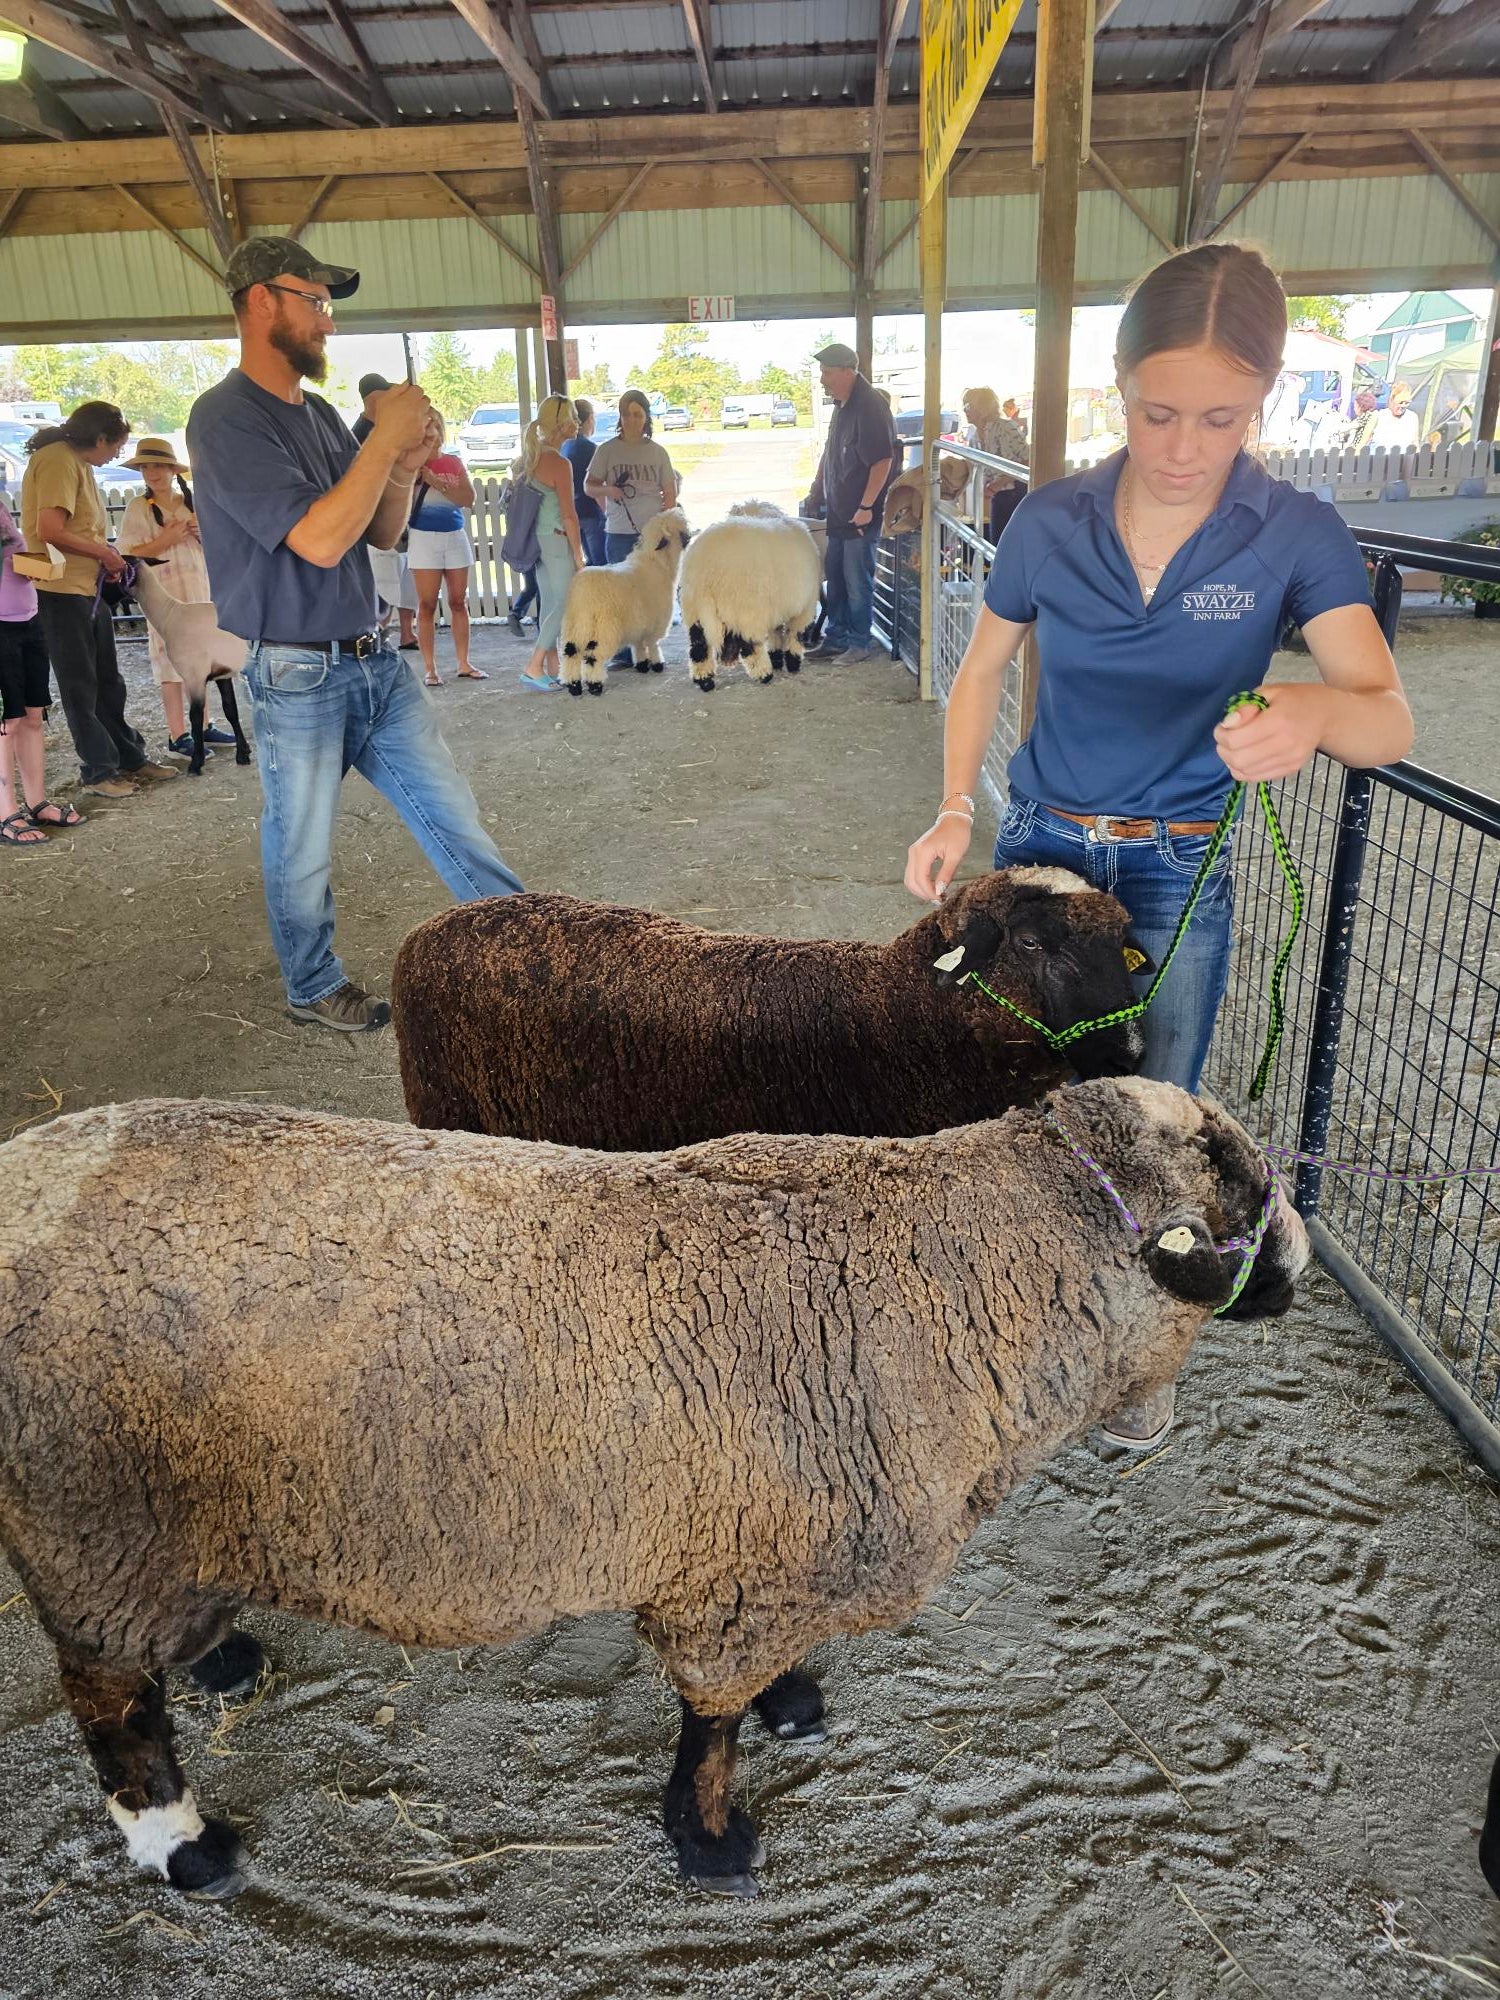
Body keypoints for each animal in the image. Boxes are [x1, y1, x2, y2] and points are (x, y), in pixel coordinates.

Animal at [0, 1077, 1307, 1900]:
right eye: (1236, 1173)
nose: (1297, 1256)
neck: (948, 1273)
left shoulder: (767, 1555)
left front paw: (794, 1700)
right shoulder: (732, 1581)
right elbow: (708, 1722)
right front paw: (713, 1837)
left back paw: (221, 1652)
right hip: (87, 1521)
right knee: (111, 1700)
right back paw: (185, 1845)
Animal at [127, 559, 250, 777]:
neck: (170, 615)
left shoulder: (194, 676)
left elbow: (195, 716)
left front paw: (196, 764)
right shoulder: (221, 674)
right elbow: (230, 710)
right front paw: (243, 753)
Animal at [392, 866, 1150, 1152]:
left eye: (1122, 944)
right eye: (1030, 942)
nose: (1133, 1051)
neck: (889, 1016)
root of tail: (424, 931)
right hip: (449, 1108)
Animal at [559, 506, 691, 696]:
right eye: (680, 530)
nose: (690, 538)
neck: (657, 563)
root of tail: (583, 592)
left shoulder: (638, 623)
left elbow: (638, 645)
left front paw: (642, 665)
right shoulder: (656, 621)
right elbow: (653, 644)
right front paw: (657, 664)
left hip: (575, 625)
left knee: (571, 654)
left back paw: (574, 686)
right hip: (604, 628)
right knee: (593, 656)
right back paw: (595, 685)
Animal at [679, 500, 823, 690]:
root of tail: (706, 570)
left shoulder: (776, 607)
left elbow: (776, 633)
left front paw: (777, 658)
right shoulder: (804, 609)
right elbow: (794, 636)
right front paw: (792, 663)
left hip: (694, 610)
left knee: (699, 646)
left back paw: (705, 681)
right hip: (747, 610)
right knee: (750, 646)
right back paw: (764, 674)